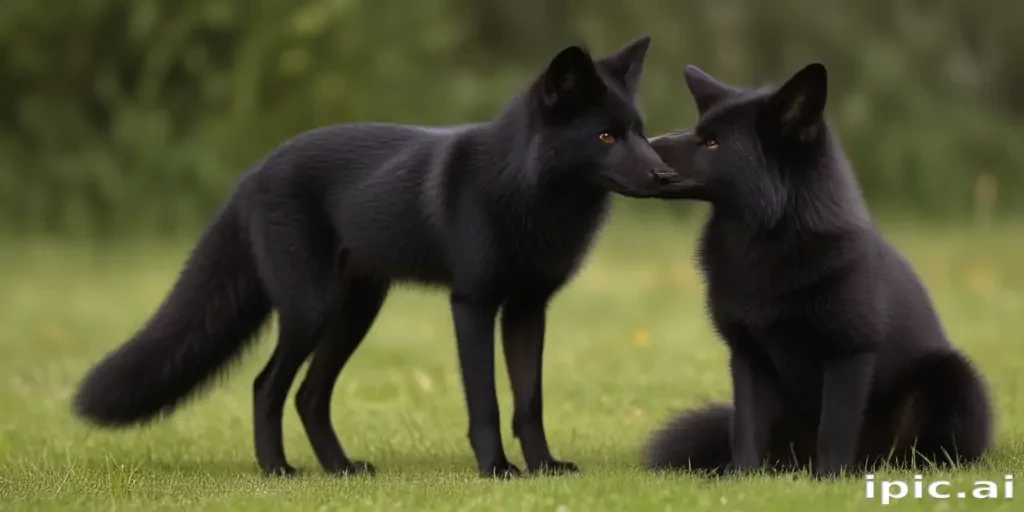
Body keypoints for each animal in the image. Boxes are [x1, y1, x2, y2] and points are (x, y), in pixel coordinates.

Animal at [73, 36, 683, 478]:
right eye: (605, 136)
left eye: (639, 132)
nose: (665, 175)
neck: (524, 191)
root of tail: (252, 174)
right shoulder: (472, 304)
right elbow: (485, 402)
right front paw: (497, 471)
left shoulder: (528, 309)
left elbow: (528, 402)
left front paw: (545, 468)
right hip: (310, 311)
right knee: (267, 386)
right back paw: (278, 470)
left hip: (356, 313)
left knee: (309, 396)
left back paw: (340, 469)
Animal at [635, 63, 993, 477]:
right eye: (698, 130)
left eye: (713, 143)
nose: (646, 142)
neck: (768, 237)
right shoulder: (748, 356)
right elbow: (747, 431)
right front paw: (742, 479)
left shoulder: (848, 354)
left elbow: (834, 430)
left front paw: (828, 481)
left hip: (951, 377)